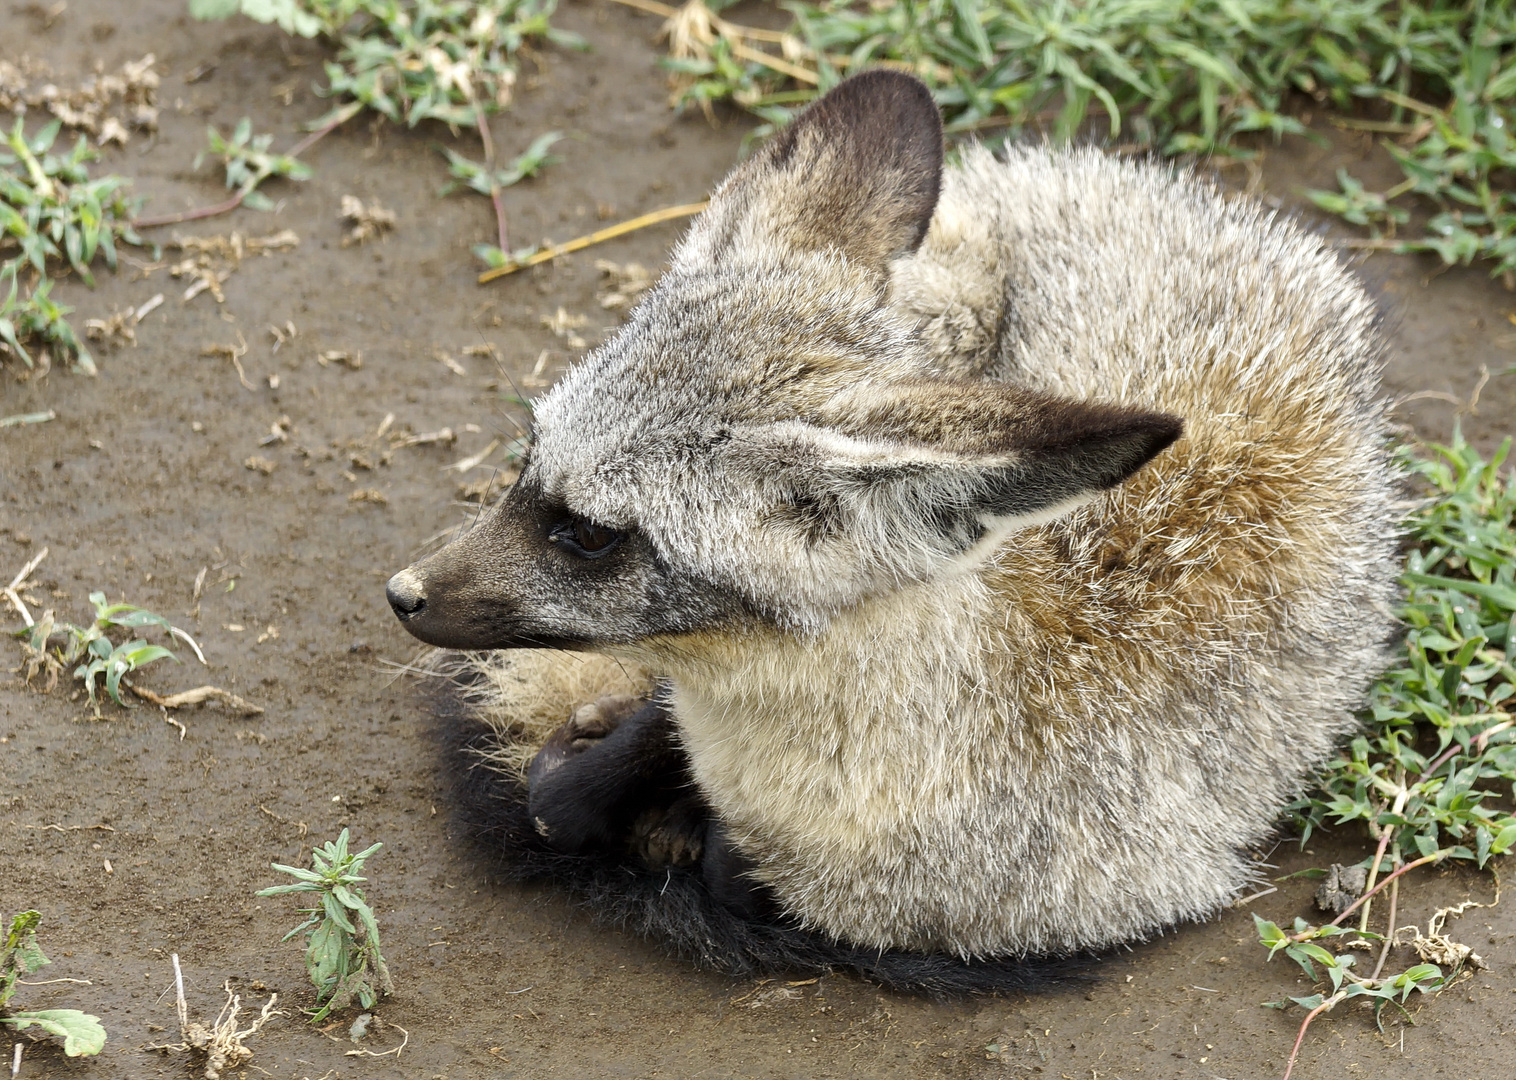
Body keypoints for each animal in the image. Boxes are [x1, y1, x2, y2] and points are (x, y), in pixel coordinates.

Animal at [388, 69, 1394, 995]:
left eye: (592, 535)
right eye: (529, 461)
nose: (402, 594)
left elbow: (725, 868)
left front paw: (675, 819)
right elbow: (562, 796)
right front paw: (621, 773)